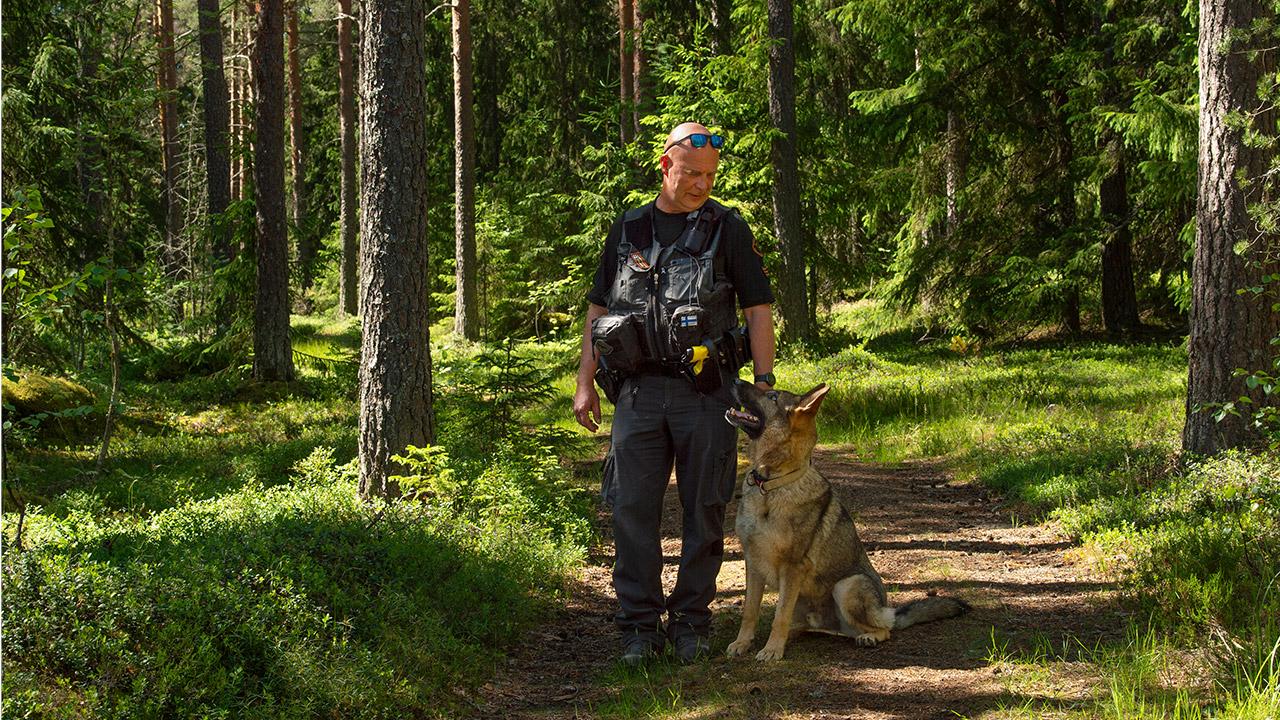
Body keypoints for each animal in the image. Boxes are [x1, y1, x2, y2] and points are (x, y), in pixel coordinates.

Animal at [721, 379, 967, 661]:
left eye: (772, 396)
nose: (734, 379)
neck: (772, 484)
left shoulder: (793, 567)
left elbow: (779, 616)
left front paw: (772, 650)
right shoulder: (753, 564)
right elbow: (750, 612)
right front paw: (742, 643)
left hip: (848, 586)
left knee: (885, 629)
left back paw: (869, 637)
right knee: (803, 625)